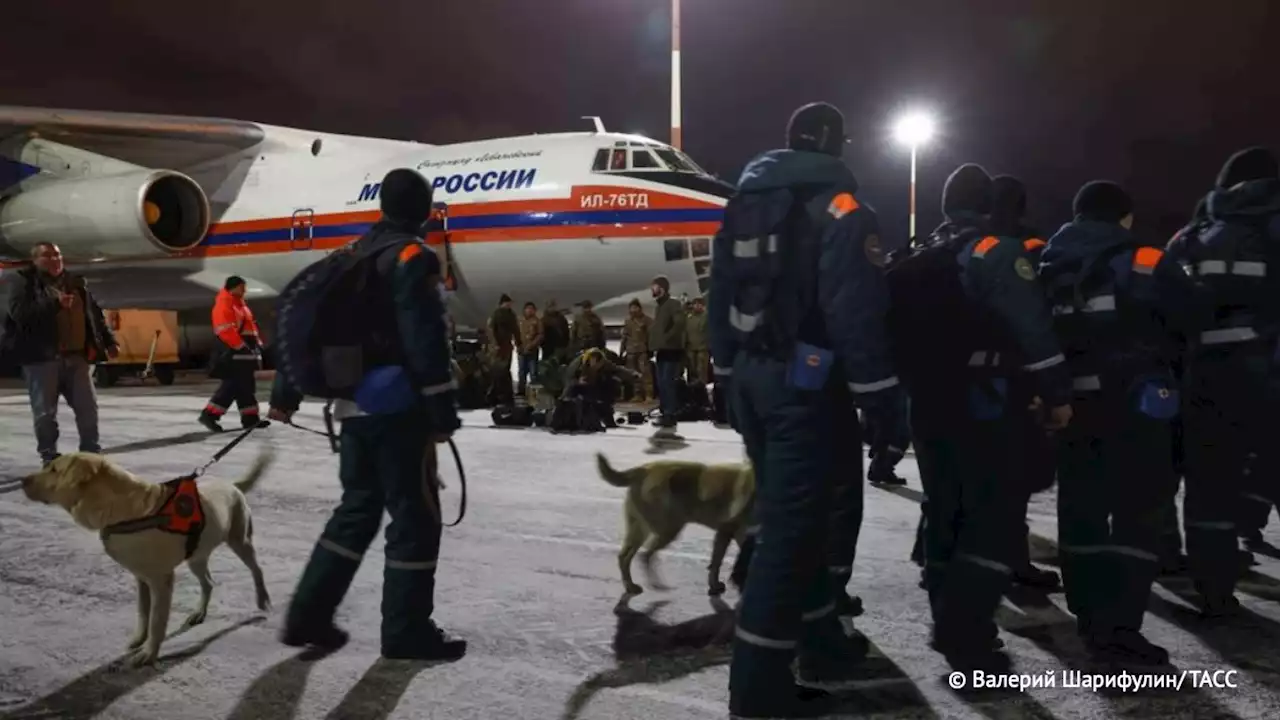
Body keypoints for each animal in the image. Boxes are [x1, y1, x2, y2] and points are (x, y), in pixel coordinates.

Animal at [20, 450, 272, 666]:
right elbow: (143, 613)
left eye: (54, 469)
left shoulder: (161, 580)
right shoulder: (141, 577)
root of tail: (232, 485)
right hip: (196, 556)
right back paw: (199, 612)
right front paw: (139, 639)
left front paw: (149, 653)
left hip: (240, 540)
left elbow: (157, 621)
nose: (22, 480)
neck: (122, 510)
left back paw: (263, 599)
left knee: (257, 569)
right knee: (208, 582)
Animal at [593, 453, 752, 594]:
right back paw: (655, 585)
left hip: (641, 530)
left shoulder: (735, 535)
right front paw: (716, 585)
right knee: (645, 555)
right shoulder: (727, 531)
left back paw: (630, 586)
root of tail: (644, 469)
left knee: (625, 557)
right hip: (668, 529)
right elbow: (717, 562)